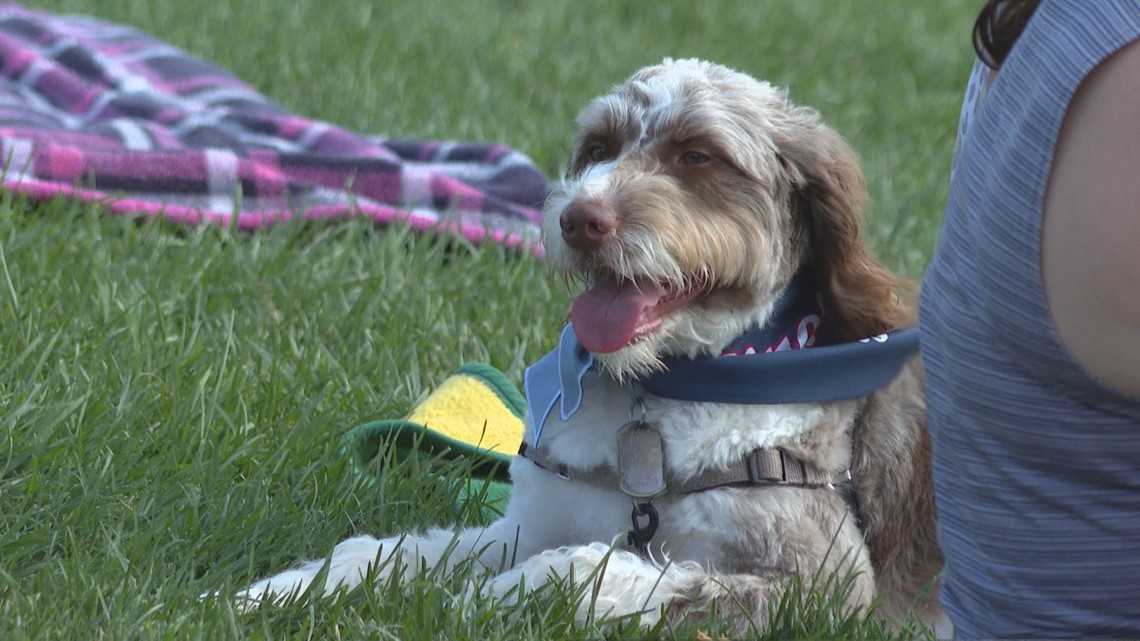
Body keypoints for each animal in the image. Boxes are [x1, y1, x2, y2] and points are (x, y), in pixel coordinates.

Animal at [233, 59, 943, 634]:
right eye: (598, 148)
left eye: (698, 156)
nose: (580, 219)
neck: (660, 394)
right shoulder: (529, 524)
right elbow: (384, 554)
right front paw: (275, 593)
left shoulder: (825, 591)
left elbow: (582, 571)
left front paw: (483, 601)